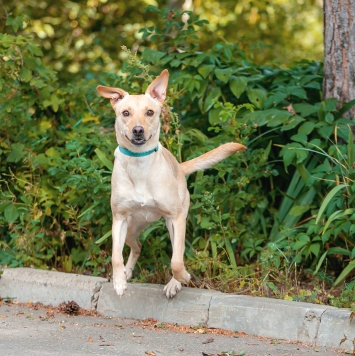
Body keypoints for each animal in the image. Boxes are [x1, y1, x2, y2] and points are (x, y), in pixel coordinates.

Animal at [97, 69, 248, 298]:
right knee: (137, 246)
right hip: (131, 228)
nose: (138, 130)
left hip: (175, 222)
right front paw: (119, 281)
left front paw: (182, 278)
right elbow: (115, 256)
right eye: (126, 113)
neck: (140, 164)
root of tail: (179, 166)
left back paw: (174, 283)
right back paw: (126, 272)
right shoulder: (119, 219)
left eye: (150, 112)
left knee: (177, 252)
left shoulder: (175, 218)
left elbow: (176, 261)